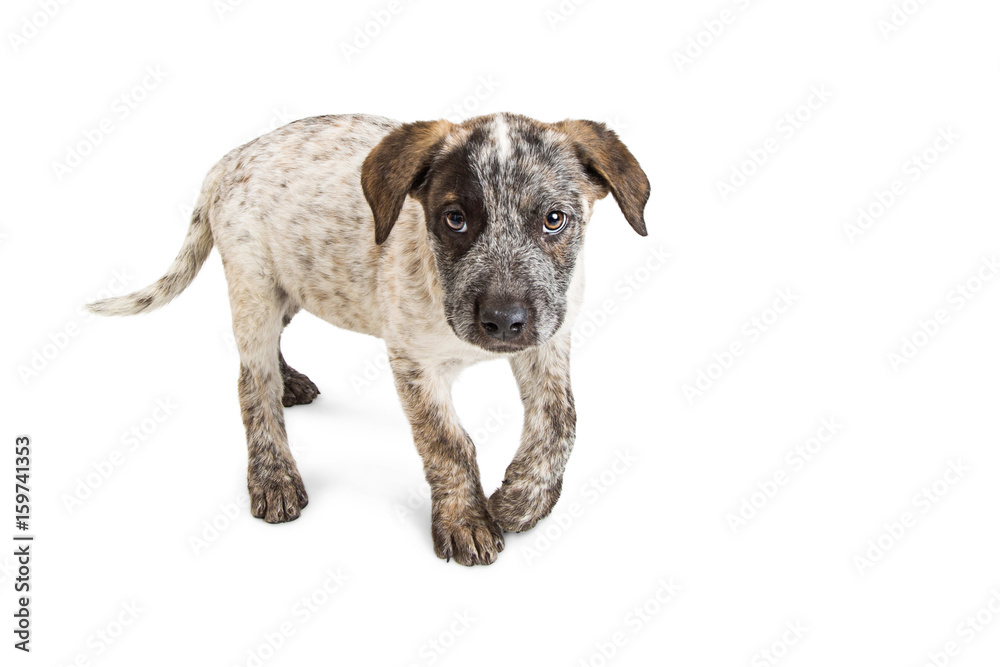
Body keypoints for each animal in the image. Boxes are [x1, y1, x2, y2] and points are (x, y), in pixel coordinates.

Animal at [90, 112, 652, 568]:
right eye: (455, 219)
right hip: (255, 289)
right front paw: (466, 521)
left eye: (554, 220)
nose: (502, 320)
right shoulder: (413, 363)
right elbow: (448, 442)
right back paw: (274, 475)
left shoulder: (547, 339)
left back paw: (290, 383)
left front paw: (522, 501)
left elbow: (561, 421)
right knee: (253, 383)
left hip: (293, 287)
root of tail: (228, 161)